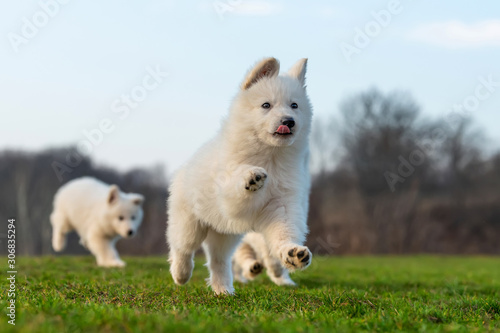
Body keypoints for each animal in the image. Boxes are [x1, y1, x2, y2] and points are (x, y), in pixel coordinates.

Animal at [167, 56, 312, 294]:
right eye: (266, 105)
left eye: (294, 105)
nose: (288, 121)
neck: (269, 154)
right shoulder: (229, 196)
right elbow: (237, 182)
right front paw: (252, 176)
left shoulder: (281, 205)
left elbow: (284, 232)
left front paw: (293, 253)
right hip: (190, 224)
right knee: (182, 248)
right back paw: (181, 274)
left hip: (224, 234)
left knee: (218, 261)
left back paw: (223, 289)